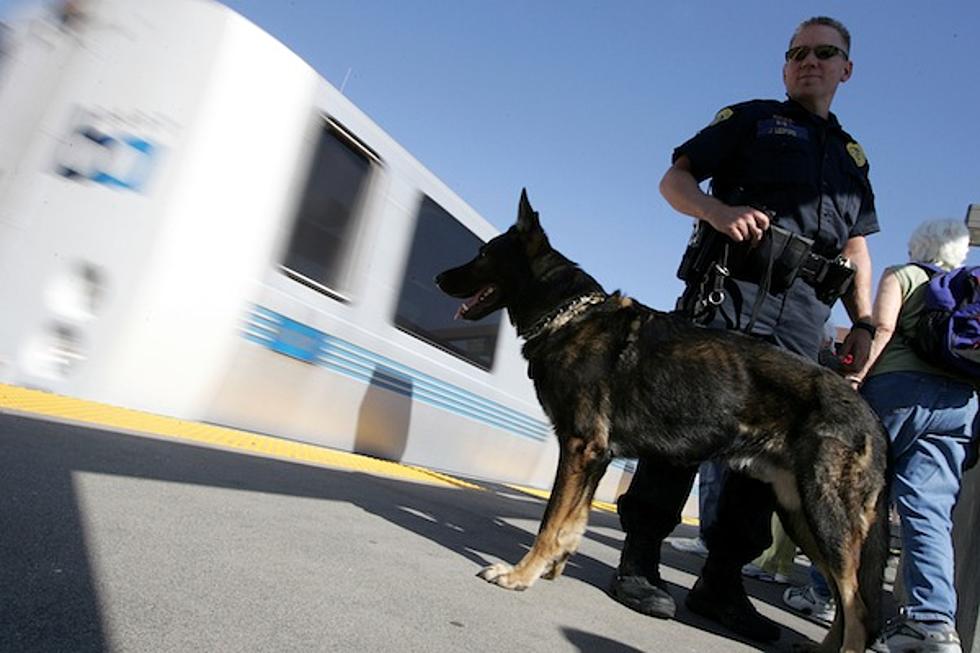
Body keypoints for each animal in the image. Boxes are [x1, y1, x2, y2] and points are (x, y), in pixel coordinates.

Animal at [436, 191, 888, 648]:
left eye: (483, 253)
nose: (439, 277)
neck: (569, 313)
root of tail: (871, 416)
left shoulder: (580, 448)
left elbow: (550, 522)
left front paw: (520, 574)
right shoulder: (595, 457)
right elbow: (571, 521)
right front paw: (553, 566)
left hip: (824, 515)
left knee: (858, 608)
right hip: (802, 516)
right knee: (845, 602)